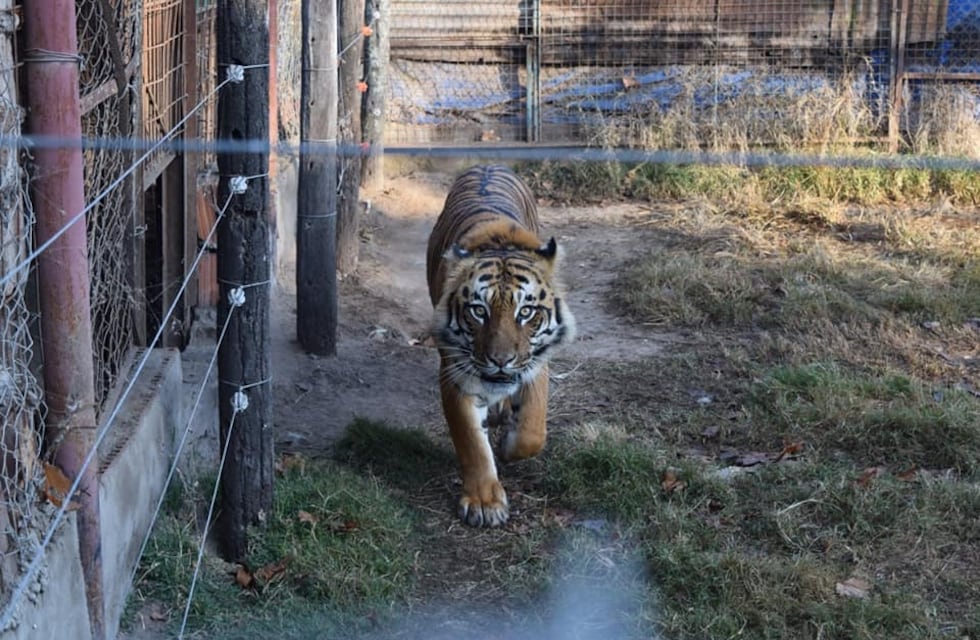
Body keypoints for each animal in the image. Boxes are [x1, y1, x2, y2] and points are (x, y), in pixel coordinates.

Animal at [426, 165, 576, 527]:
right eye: (479, 311)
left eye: (526, 312)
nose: (501, 360)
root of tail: (487, 165)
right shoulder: (455, 373)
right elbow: (471, 442)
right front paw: (484, 504)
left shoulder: (535, 361)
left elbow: (533, 431)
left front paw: (510, 446)